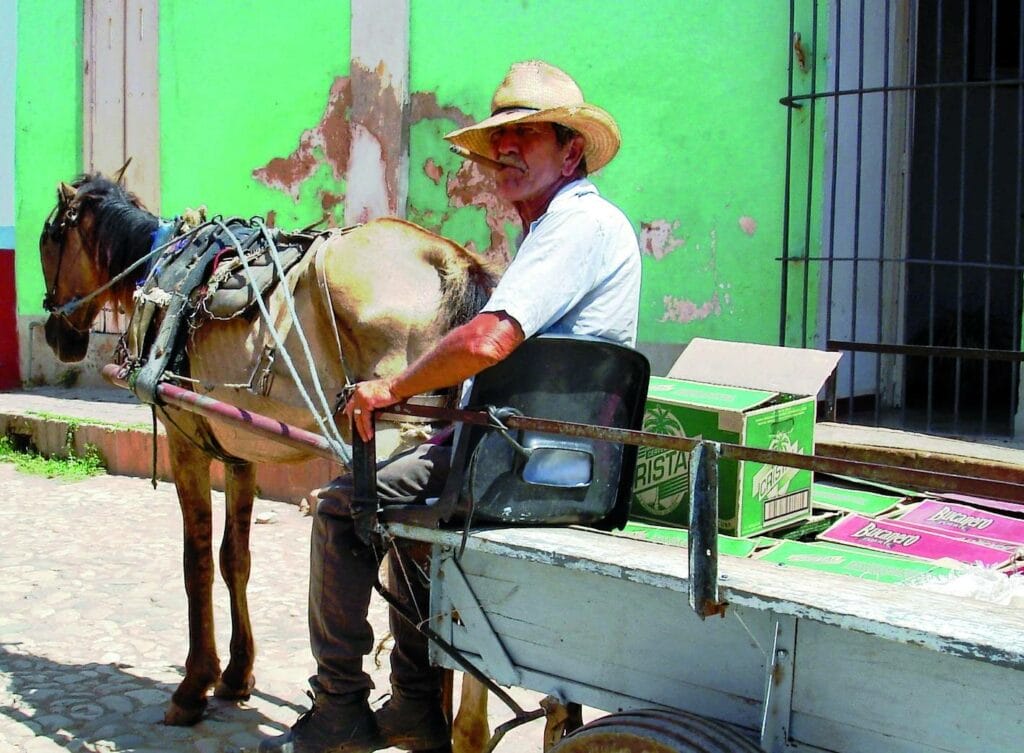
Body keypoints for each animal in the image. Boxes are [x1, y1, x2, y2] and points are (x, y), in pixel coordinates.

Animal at [37, 168, 501, 737]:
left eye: (48, 239)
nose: (57, 336)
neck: (161, 266)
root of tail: (448, 260)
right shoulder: (241, 454)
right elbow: (235, 558)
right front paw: (237, 676)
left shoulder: (185, 442)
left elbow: (195, 560)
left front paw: (194, 685)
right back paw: (454, 722)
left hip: (396, 445)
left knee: (422, 576)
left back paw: (444, 725)